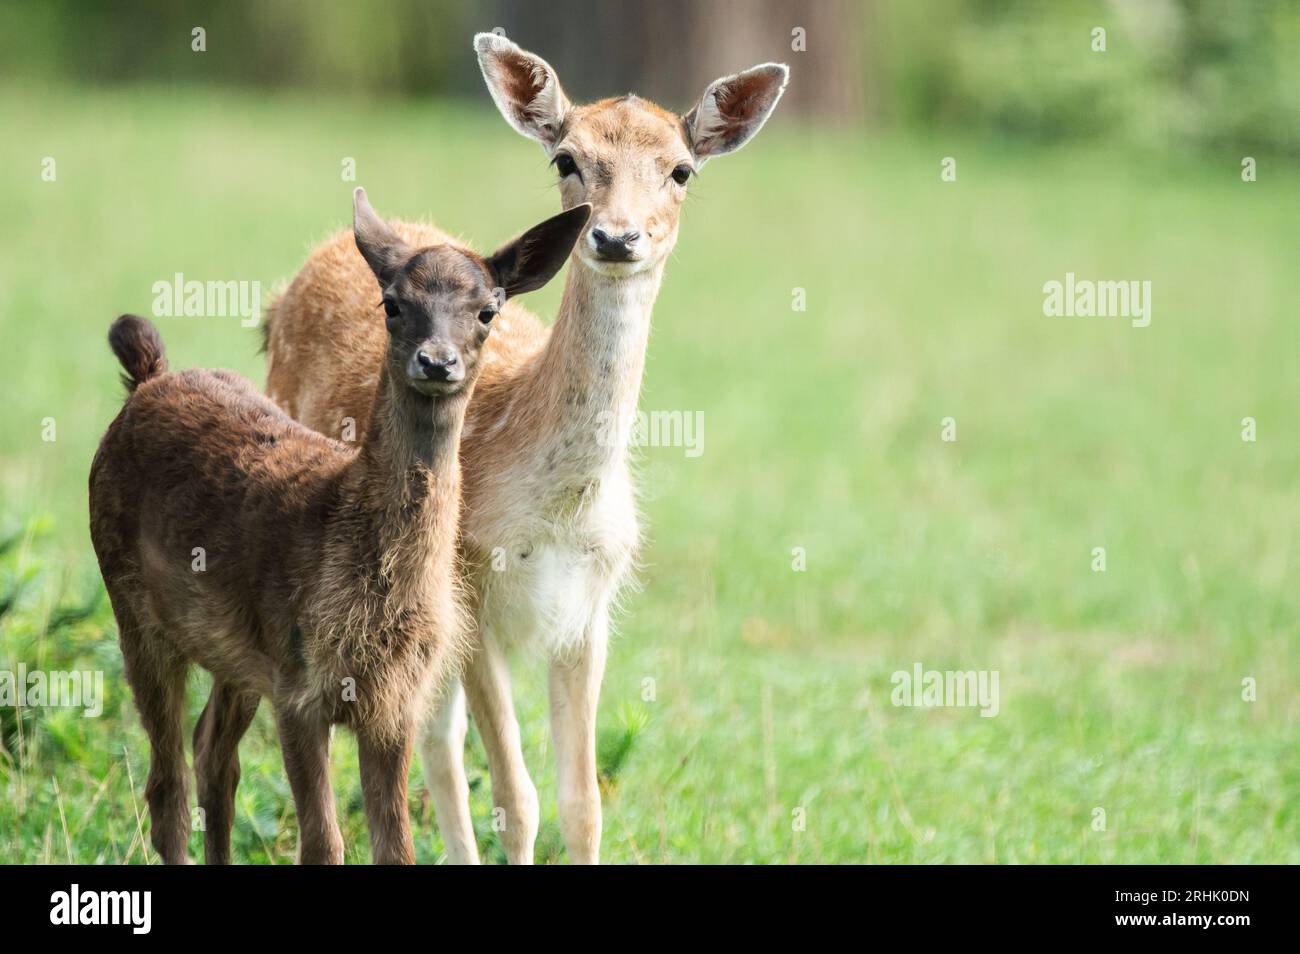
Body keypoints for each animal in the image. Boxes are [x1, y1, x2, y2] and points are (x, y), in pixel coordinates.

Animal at [85, 188, 585, 868]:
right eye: (391, 303)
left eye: (488, 310)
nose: (437, 361)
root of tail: (150, 377)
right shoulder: (299, 686)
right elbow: (323, 843)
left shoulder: (394, 702)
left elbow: (394, 846)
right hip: (135, 607)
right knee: (168, 788)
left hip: (235, 651)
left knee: (213, 753)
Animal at [266, 35, 780, 868]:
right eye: (568, 159)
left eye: (681, 170)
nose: (615, 236)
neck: (556, 514)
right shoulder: (472, 585)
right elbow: (517, 797)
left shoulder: (592, 608)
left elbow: (583, 803)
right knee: (433, 741)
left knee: (435, 742)